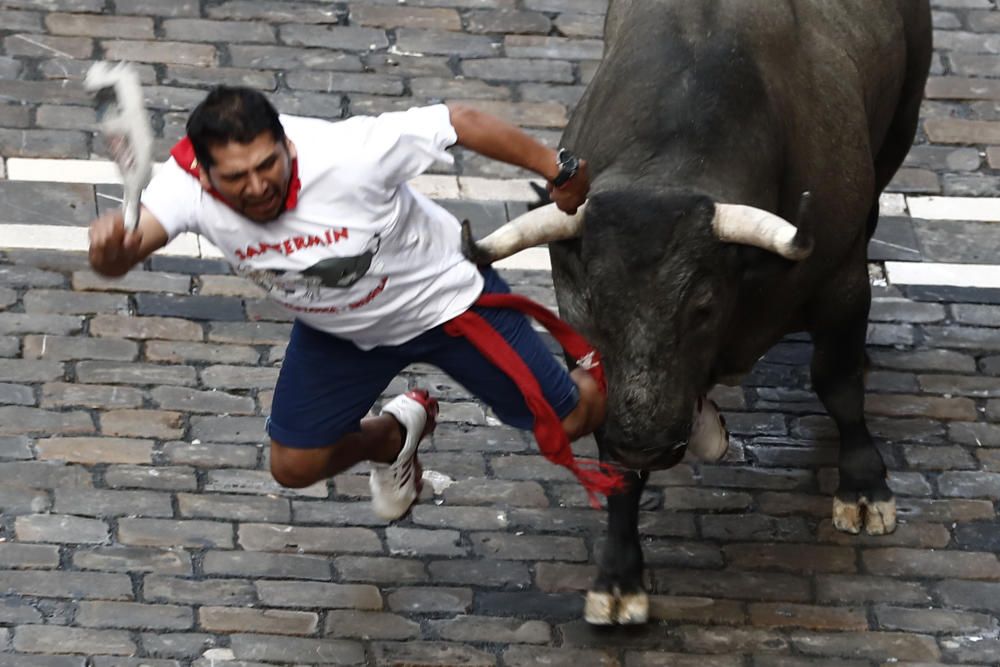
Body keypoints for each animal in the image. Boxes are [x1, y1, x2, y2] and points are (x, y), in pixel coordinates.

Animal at [464, 0, 932, 628]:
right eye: (587, 306)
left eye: (703, 306)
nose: (643, 444)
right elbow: (615, 469)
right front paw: (618, 577)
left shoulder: (843, 281)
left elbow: (837, 384)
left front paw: (863, 487)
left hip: (904, 116)